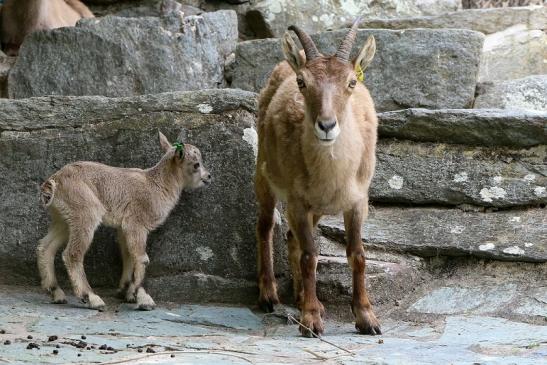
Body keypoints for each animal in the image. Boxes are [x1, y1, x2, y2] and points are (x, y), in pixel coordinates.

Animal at [37, 132, 212, 308]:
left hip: (64, 219)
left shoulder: (123, 228)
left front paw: (126, 291)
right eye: (196, 164)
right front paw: (143, 299)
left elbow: (128, 256)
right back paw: (92, 298)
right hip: (85, 212)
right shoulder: (136, 222)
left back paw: (56, 293)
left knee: (45, 247)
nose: (208, 176)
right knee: (72, 254)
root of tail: (55, 182)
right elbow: (142, 259)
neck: (156, 185)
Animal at [255, 19, 378, 336]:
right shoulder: (298, 201)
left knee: (291, 237)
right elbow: (310, 255)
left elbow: (357, 254)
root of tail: (290, 60)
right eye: (302, 83)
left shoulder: (357, 201)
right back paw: (269, 294)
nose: (326, 125)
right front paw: (310, 320)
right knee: (265, 227)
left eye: (351, 82)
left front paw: (366, 317)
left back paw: (301, 296)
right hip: (264, 175)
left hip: (317, 209)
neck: (334, 175)